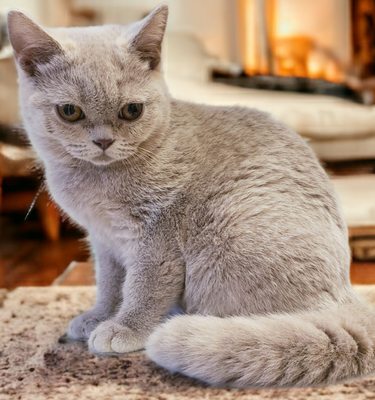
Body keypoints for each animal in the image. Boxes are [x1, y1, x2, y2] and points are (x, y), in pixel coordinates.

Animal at [7, 5, 375, 388]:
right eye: (70, 111)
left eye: (131, 111)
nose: (103, 141)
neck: (98, 184)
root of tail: (347, 296)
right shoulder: (104, 240)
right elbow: (108, 285)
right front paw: (98, 315)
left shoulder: (156, 238)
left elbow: (142, 288)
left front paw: (124, 328)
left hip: (231, 231)